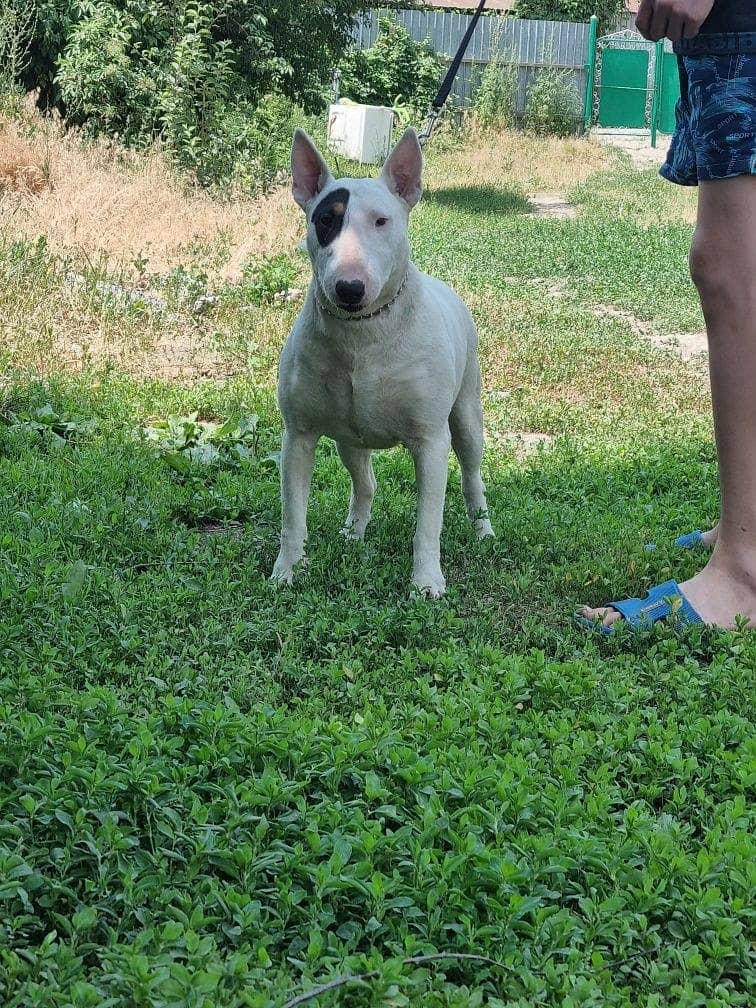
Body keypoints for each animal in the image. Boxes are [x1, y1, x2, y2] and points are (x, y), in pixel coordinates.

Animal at [274, 127, 497, 596]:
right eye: (326, 220)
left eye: (382, 220)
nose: (349, 288)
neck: (362, 336)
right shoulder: (298, 436)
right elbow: (292, 515)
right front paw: (287, 571)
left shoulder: (430, 441)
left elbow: (428, 522)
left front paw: (426, 582)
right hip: (349, 440)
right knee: (365, 483)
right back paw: (353, 534)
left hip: (467, 415)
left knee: (472, 475)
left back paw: (483, 531)